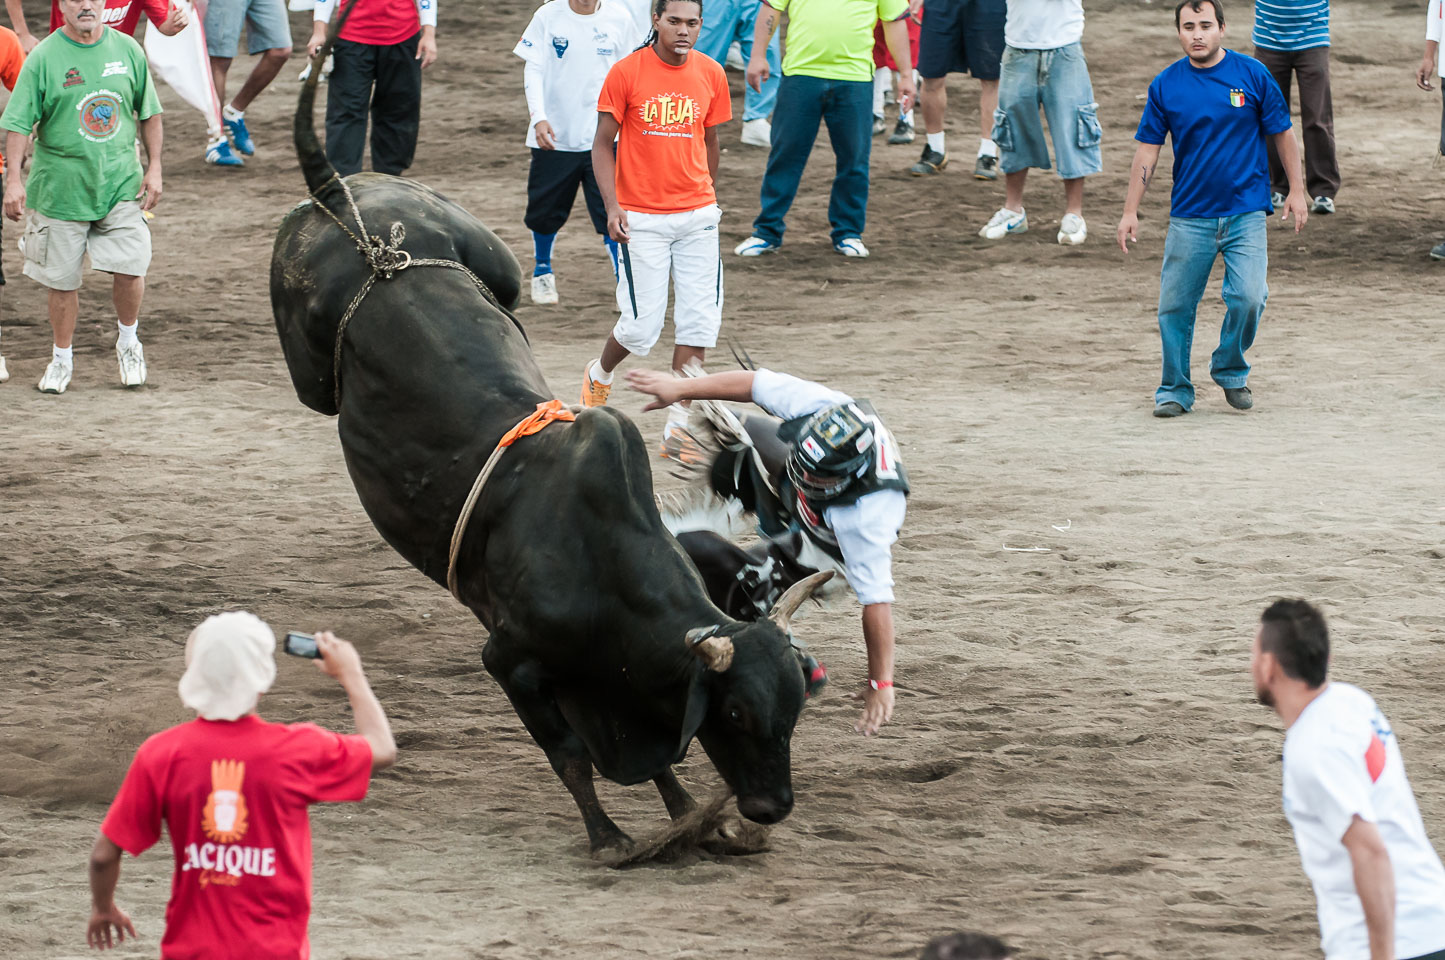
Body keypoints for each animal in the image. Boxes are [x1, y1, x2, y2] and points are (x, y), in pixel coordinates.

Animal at [271, 50, 832, 855]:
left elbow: (651, 762)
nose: (771, 807)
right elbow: (571, 755)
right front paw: (611, 838)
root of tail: (348, 207)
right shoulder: (511, 662)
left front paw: (685, 815)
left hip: (491, 264)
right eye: (734, 713)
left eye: (790, 712)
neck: (603, 569)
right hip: (312, 365)